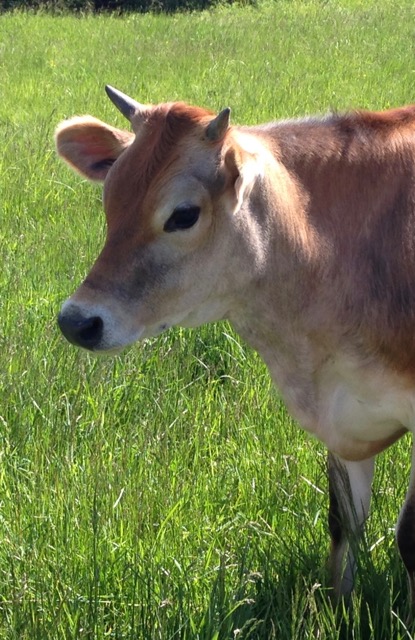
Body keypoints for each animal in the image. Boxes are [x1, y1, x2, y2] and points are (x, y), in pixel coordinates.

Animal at [55, 85, 415, 616]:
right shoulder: (342, 411)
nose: (77, 321)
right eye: (110, 197)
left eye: (183, 215)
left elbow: (409, 536)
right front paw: (337, 612)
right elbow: (342, 521)